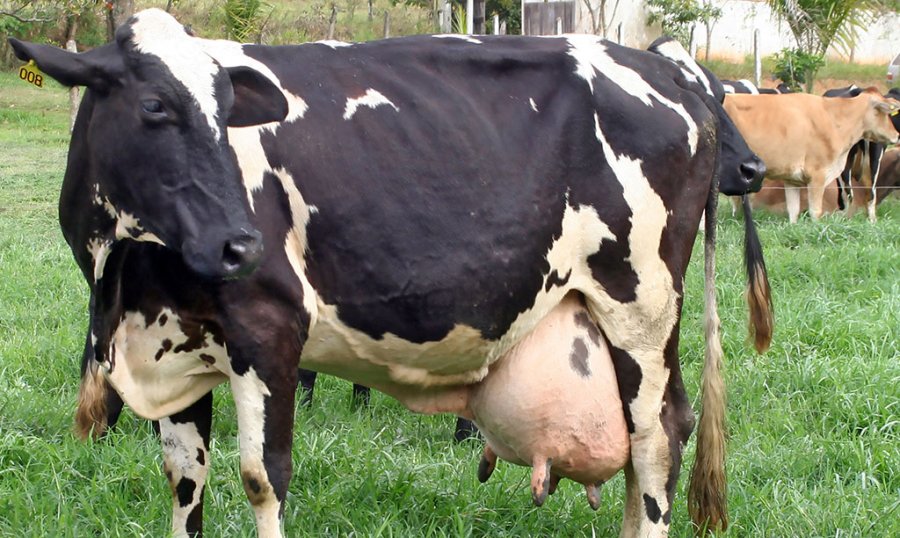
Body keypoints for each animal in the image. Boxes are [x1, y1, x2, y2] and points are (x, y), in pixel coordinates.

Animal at [10, 10, 772, 538]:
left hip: (642, 307)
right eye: (154, 106)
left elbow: (263, 478)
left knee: (658, 441)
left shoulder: (269, 331)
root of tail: (673, 78)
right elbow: (184, 481)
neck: (125, 276)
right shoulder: (172, 348)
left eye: (227, 112)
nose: (240, 244)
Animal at [724, 89, 900, 223]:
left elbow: (793, 212)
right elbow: (815, 212)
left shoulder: (791, 179)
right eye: (885, 113)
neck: (834, 119)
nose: (897, 135)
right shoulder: (817, 175)